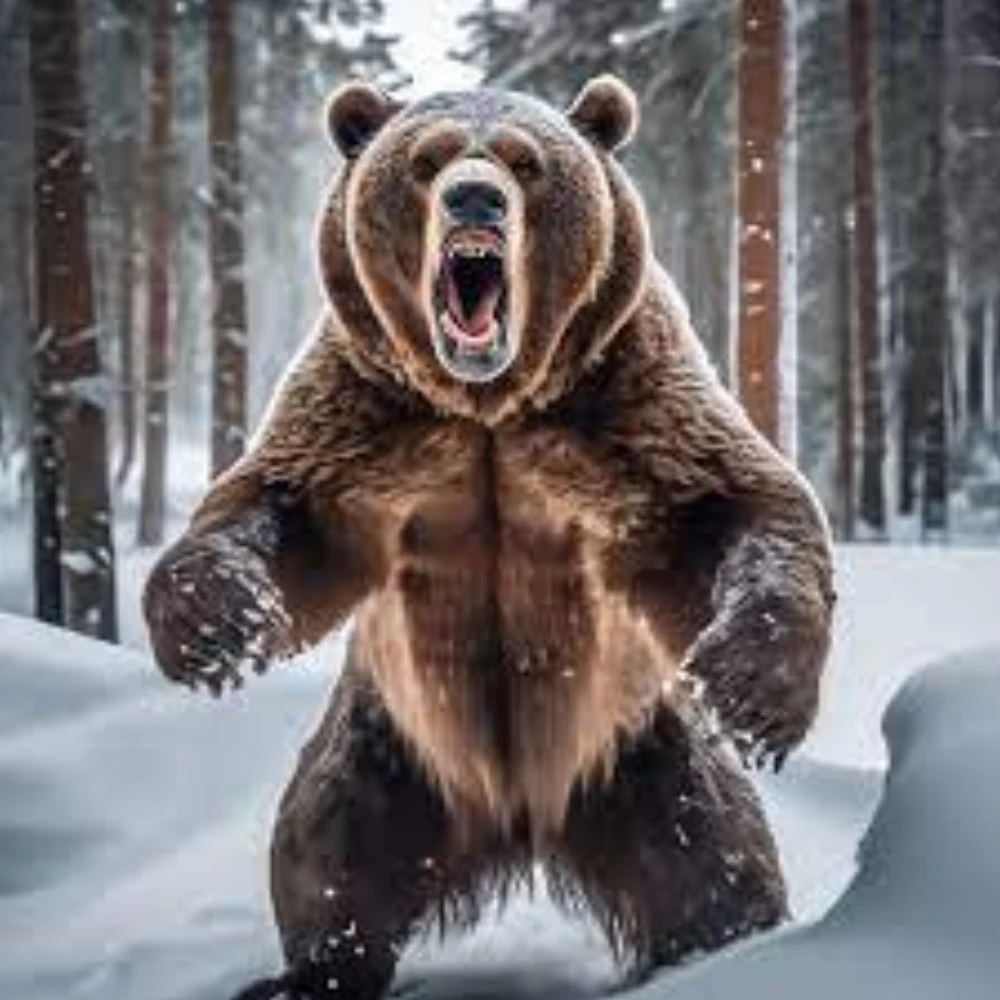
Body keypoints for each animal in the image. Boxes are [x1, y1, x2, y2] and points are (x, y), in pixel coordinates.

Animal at [143, 74, 835, 999]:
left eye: (524, 161)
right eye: (426, 159)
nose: (475, 197)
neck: (489, 403)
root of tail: (520, 819)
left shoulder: (624, 395)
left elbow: (725, 503)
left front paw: (756, 692)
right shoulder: (367, 415)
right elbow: (282, 508)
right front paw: (218, 626)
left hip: (639, 745)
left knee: (710, 858)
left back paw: (726, 950)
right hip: (391, 748)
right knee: (328, 851)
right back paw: (308, 972)